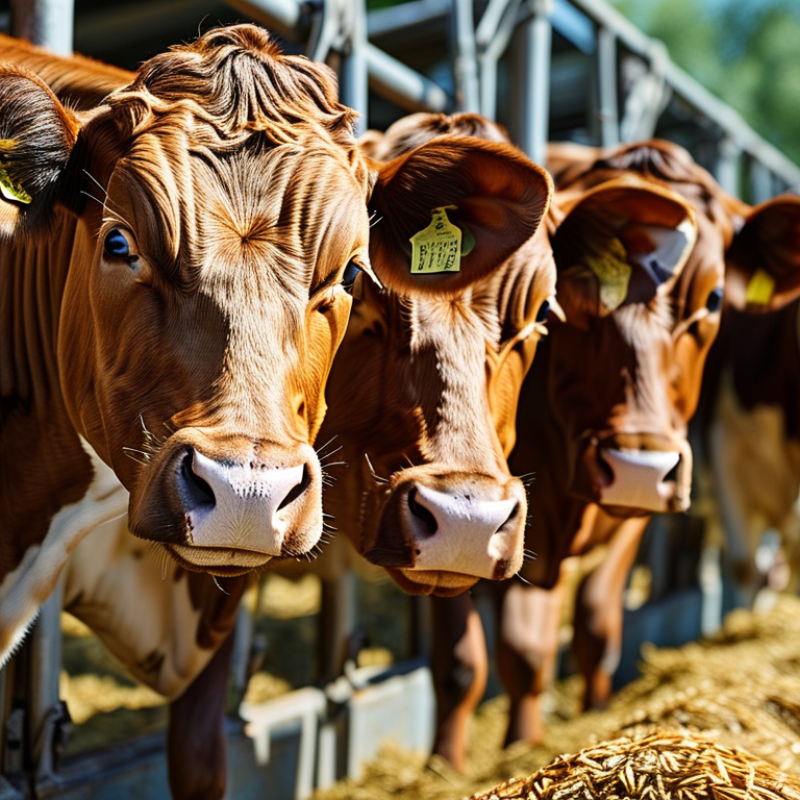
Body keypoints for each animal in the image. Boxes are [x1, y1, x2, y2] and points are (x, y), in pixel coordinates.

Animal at [429, 139, 800, 770]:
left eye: (715, 297)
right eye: (568, 290)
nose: (637, 471)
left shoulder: (638, 508)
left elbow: (595, 630)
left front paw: (587, 718)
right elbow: (473, 660)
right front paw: (464, 762)